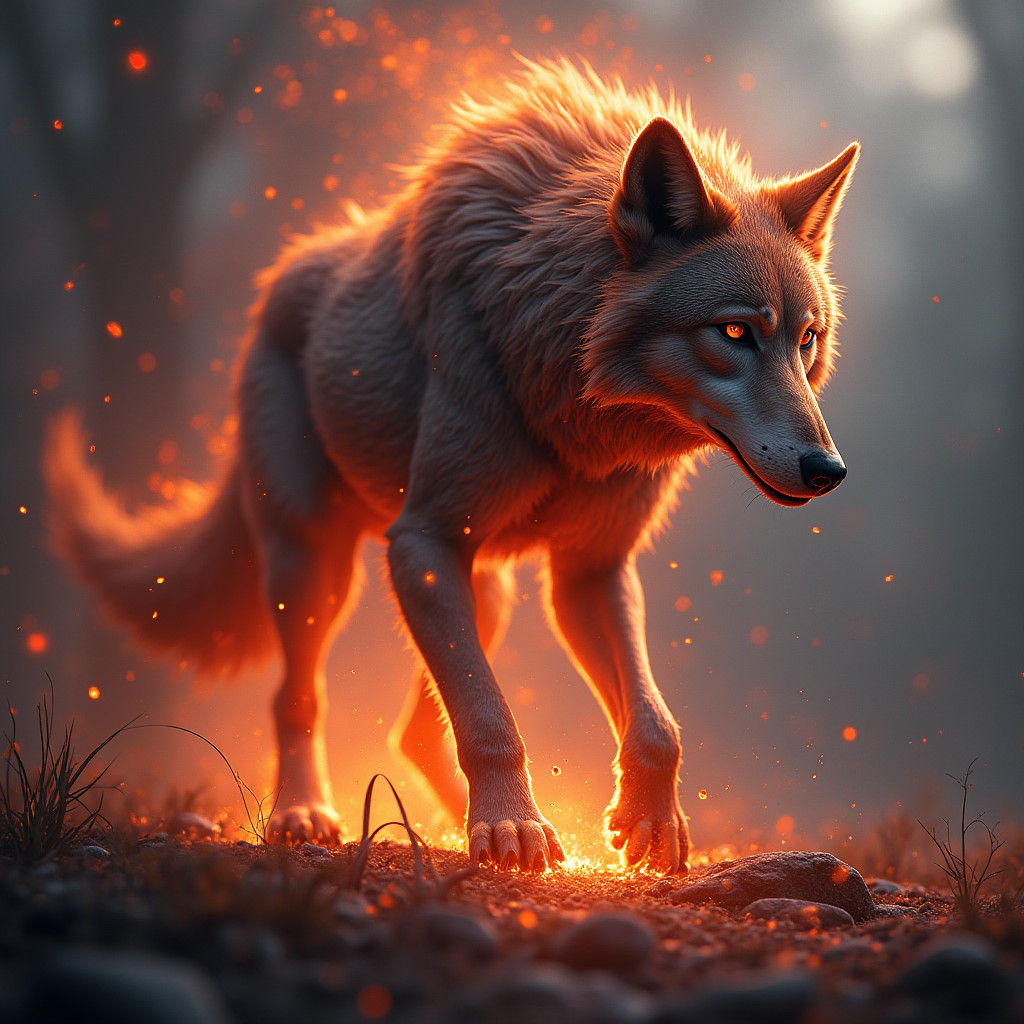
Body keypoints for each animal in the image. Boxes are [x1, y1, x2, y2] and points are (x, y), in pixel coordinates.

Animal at [45, 59, 858, 873]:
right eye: (735, 333)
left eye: (807, 339)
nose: (828, 470)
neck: (569, 394)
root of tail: (275, 282)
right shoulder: (422, 544)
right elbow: (492, 720)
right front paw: (513, 827)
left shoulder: (591, 570)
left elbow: (656, 725)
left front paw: (644, 824)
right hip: (316, 566)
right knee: (299, 698)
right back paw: (307, 814)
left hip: (484, 590)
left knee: (414, 730)